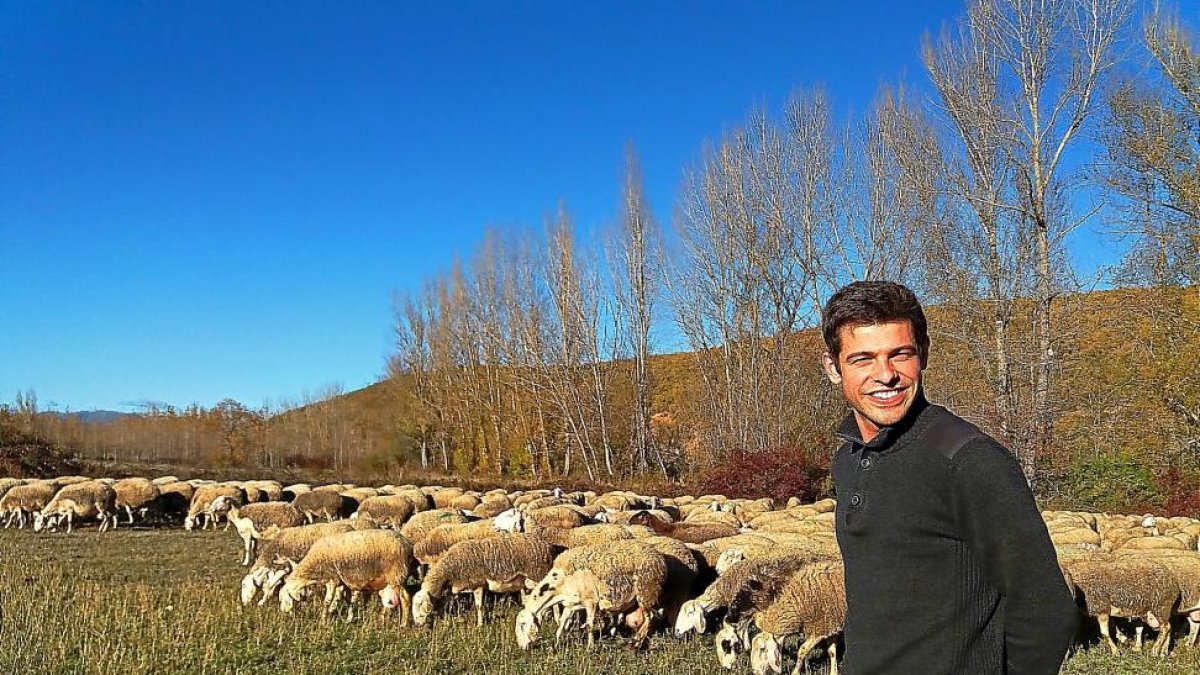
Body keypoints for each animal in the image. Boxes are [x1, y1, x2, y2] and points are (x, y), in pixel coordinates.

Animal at [279, 528, 420, 624]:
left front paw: (323, 621)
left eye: (282, 599)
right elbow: (349, 600)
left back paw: (403, 624)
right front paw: (349, 619)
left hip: (396, 574)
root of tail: (408, 544)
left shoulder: (332, 579)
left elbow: (327, 601)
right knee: (390, 600)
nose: (284, 615)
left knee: (405, 599)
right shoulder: (344, 581)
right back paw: (381, 619)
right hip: (393, 577)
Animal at [412, 530, 556, 624]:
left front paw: (480, 624)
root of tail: (547, 545)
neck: (449, 570)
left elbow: (479, 606)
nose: (418, 625)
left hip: (539, 574)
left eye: (419, 605)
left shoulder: (478, 584)